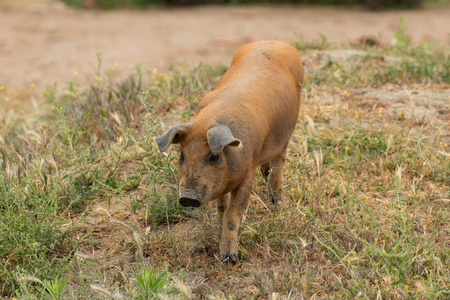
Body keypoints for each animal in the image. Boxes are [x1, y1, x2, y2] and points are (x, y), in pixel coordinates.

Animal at [156, 40, 306, 262]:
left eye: (213, 156)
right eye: (182, 156)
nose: (187, 197)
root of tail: (275, 42)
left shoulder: (248, 175)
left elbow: (232, 213)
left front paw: (229, 259)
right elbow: (221, 206)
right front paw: (219, 227)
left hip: (289, 127)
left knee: (279, 162)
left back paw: (277, 202)